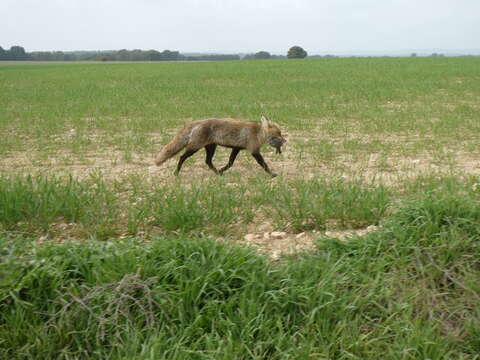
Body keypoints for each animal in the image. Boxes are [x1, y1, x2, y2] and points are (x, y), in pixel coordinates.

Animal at [156, 116, 286, 176]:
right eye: (278, 133)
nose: (285, 140)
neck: (257, 134)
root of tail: (198, 121)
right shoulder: (254, 151)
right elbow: (264, 164)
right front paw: (272, 174)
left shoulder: (236, 148)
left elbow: (230, 163)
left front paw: (222, 170)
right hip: (194, 148)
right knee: (182, 157)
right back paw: (176, 172)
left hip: (211, 147)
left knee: (208, 161)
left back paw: (217, 173)